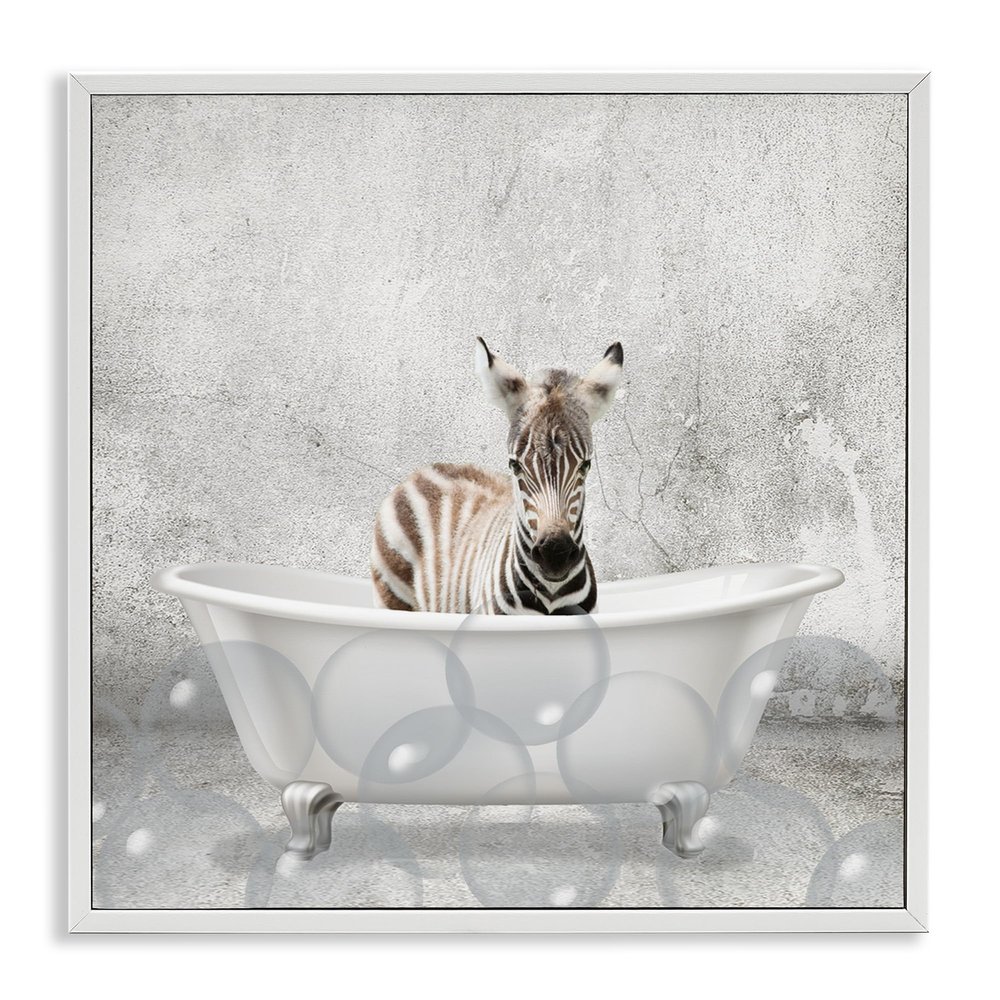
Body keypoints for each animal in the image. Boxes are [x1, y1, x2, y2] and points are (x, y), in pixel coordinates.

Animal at [370, 339, 623, 615]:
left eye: (585, 465)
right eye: (515, 465)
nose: (554, 555)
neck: (551, 594)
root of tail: (422, 470)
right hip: (392, 595)